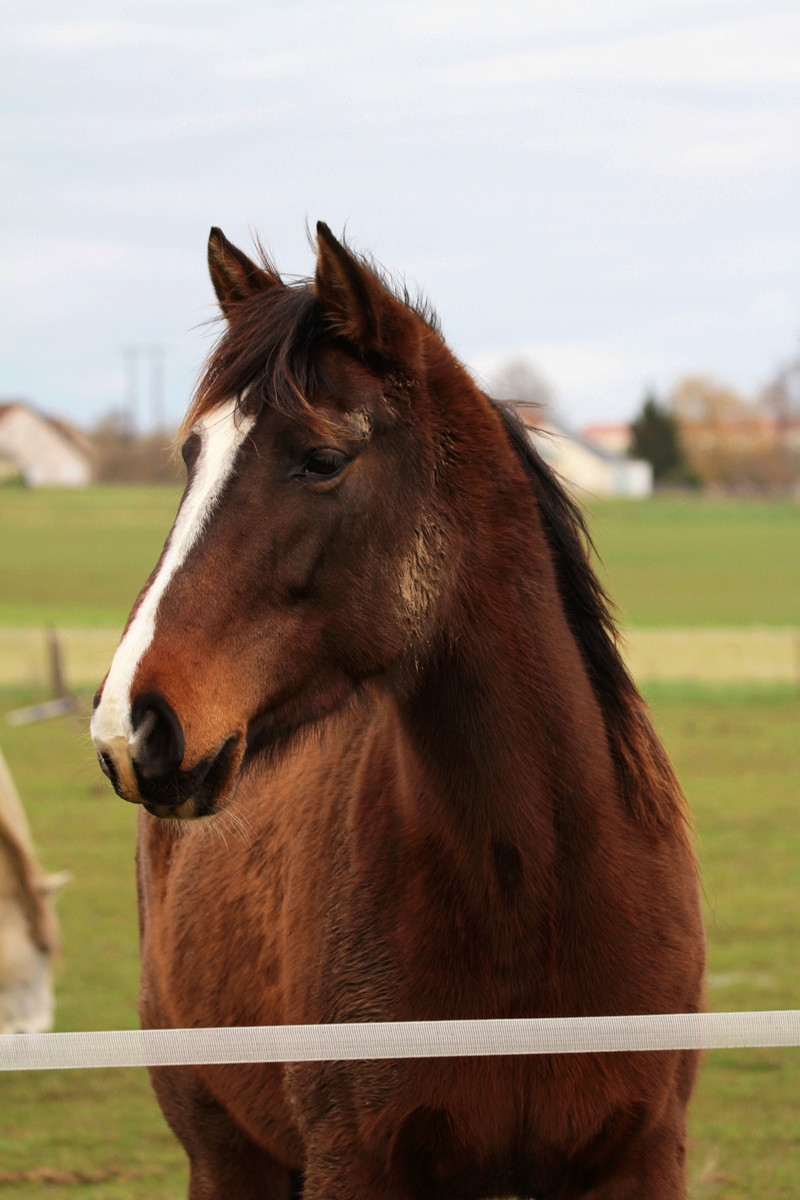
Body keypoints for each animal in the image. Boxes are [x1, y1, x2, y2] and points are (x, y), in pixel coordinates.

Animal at [92, 225, 705, 1200]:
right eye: (192, 455)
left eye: (322, 460)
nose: (131, 724)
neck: (528, 884)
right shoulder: (356, 1162)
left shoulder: (639, 1157)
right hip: (227, 1156)